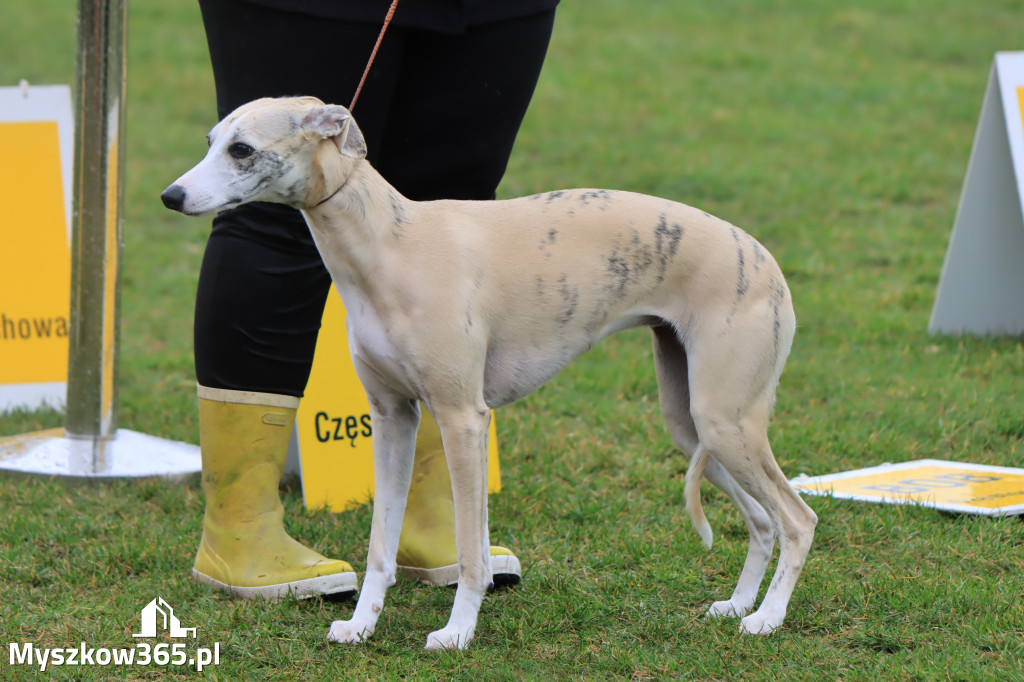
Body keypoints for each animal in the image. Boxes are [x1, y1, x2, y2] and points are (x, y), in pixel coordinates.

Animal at [161, 95, 815, 647]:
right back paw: (738, 605)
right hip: (694, 423)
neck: (389, 245)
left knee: (798, 519)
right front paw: (361, 625)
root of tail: (767, 261)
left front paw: (457, 633)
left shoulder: (462, 417)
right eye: (211, 140)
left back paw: (767, 618)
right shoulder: (393, 419)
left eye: (241, 149)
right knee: (763, 521)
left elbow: (472, 552)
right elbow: (381, 545)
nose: (171, 196)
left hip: (725, 420)